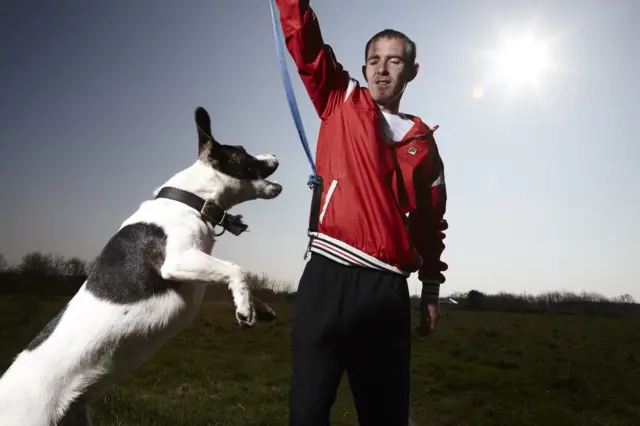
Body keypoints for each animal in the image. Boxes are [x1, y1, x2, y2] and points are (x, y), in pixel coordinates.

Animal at [0, 106, 282, 426]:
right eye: (243, 152)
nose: (275, 154)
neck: (191, 200)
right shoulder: (178, 261)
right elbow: (236, 268)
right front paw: (245, 309)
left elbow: (231, 274)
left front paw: (259, 307)